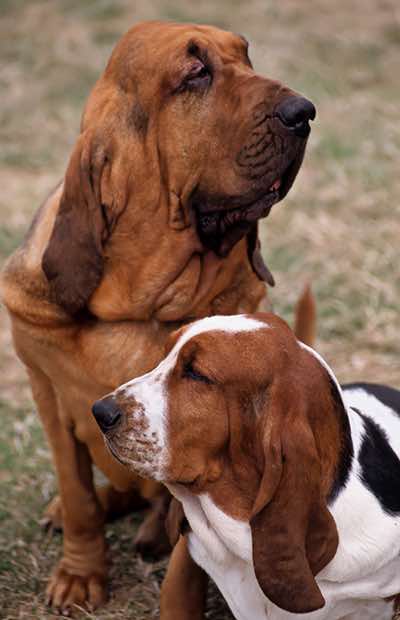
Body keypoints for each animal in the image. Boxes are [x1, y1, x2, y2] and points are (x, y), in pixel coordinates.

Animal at [0, 20, 316, 616]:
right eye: (195, 73)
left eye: (246, 57)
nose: (305, 112)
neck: (141, 308)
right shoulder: (46, 394)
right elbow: (78, 496)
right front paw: (79, 576)